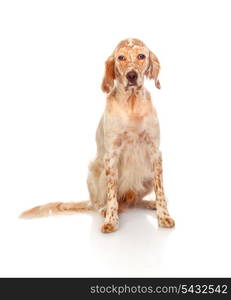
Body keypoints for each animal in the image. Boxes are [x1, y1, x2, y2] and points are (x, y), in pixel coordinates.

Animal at [21, 38, 175, 233]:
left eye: (141, 56)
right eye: (121, 57)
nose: (131, 76)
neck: (132, 105)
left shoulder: (155, 153)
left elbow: (160, 190)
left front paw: (164, 216)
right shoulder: (111, 155)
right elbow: (111, 195)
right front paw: (111, 220)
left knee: (135, 201)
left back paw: (150, 203)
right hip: (96, 171)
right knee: (101, 203)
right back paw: (104, 210)